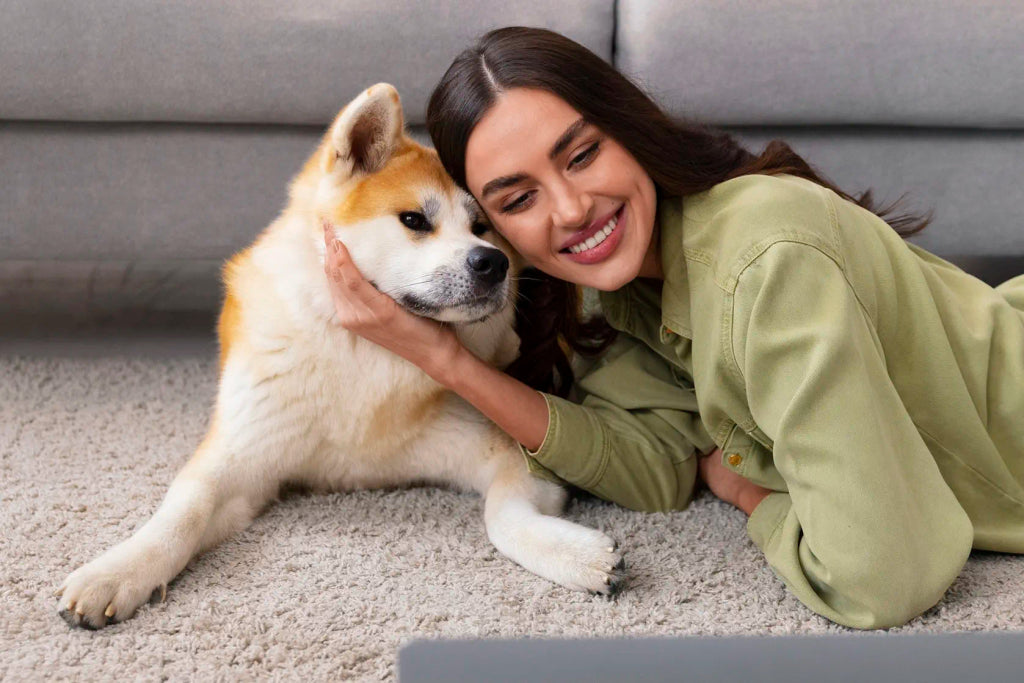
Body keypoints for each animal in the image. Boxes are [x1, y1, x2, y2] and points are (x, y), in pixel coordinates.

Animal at [59, 82, 626, 626]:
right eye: (414, 220)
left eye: (482, 227)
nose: (493, 264)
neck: (362, 353)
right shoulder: (243, 455)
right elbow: (184, 510)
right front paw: (117, 571)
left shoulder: (508, 452)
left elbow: (503, 517)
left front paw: (575, 556)